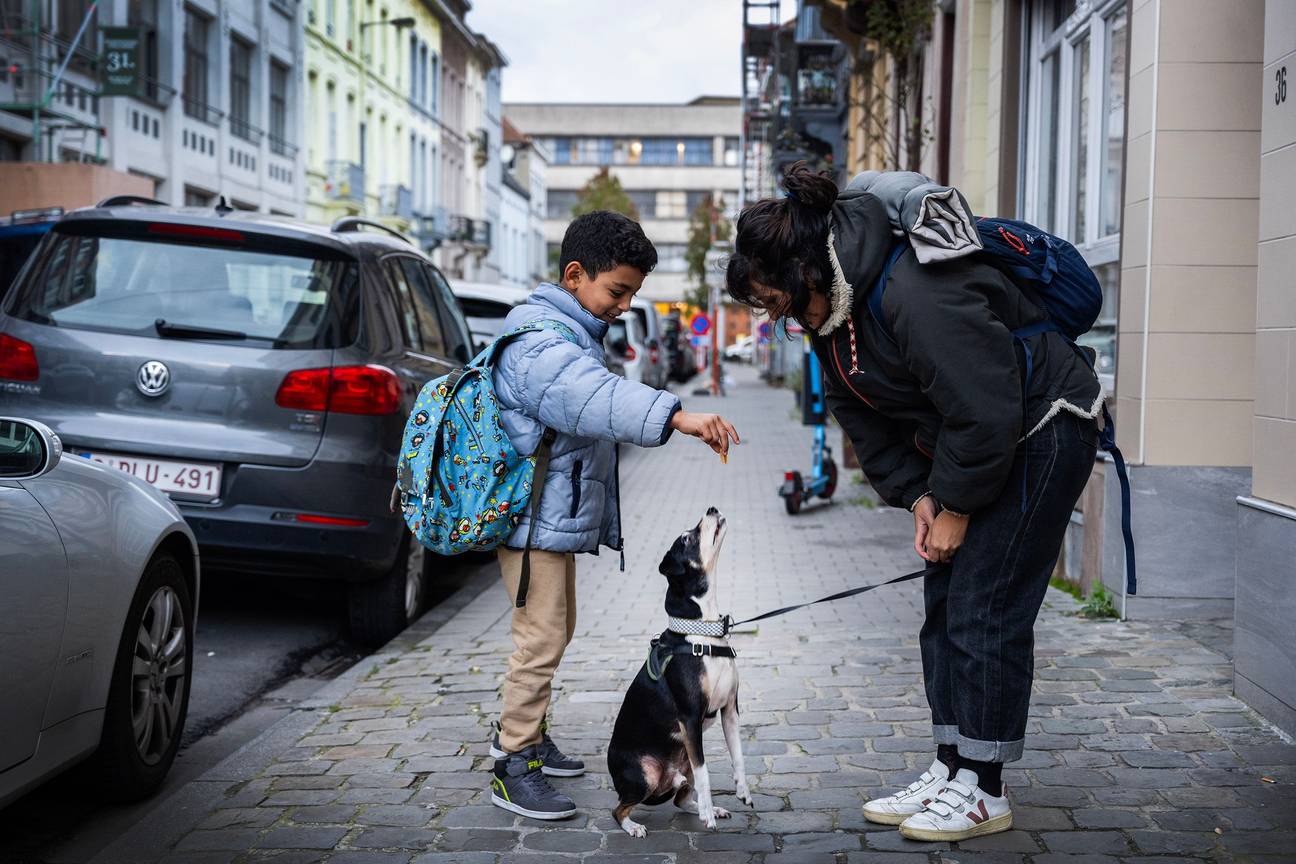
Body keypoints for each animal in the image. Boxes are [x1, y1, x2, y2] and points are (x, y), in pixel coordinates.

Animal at [603, 510, 751, 834]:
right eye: (687, 538)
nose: (711, 509)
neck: (703, 633)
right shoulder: (690, 718)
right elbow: (706, 772)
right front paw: (708, 817)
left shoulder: (730, 711)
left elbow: (738, 756)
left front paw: (742, 791)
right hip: (644, 776)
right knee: (618, 809)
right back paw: (634, 826)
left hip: (683, 765)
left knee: (681, 798)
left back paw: (709, 808)